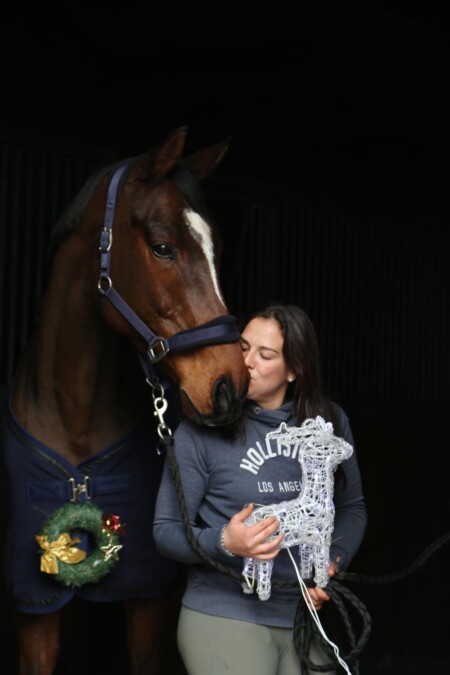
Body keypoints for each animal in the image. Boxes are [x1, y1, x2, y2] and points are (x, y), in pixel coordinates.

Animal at [0, 126, 249, 675]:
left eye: (218, 250)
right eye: (163, 248)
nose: (230, 387)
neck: (74, 416)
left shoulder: (147, 602)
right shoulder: (35, 611)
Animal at [241, 417, 353, 601]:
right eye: (332, 440)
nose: (349, 448)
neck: (314, 502)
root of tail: (251, 520)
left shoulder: (306, 540)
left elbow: (306, 562)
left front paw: (307, 579)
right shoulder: (322, 538)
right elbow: (321, 563)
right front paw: (322, 583)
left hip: (252, 554)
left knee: (248, 569)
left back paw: (247, 588)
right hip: (266, 551)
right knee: (263, 573)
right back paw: (263, 594)